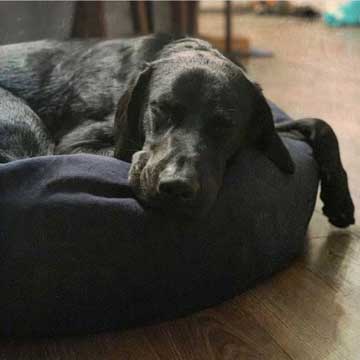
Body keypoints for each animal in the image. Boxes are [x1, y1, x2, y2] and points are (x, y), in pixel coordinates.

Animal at [0, 33, 354, 225]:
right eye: (159, 109)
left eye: (224, 125)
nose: (176, 188)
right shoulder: (75, 144)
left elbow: (319, 124)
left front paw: (341, 202)